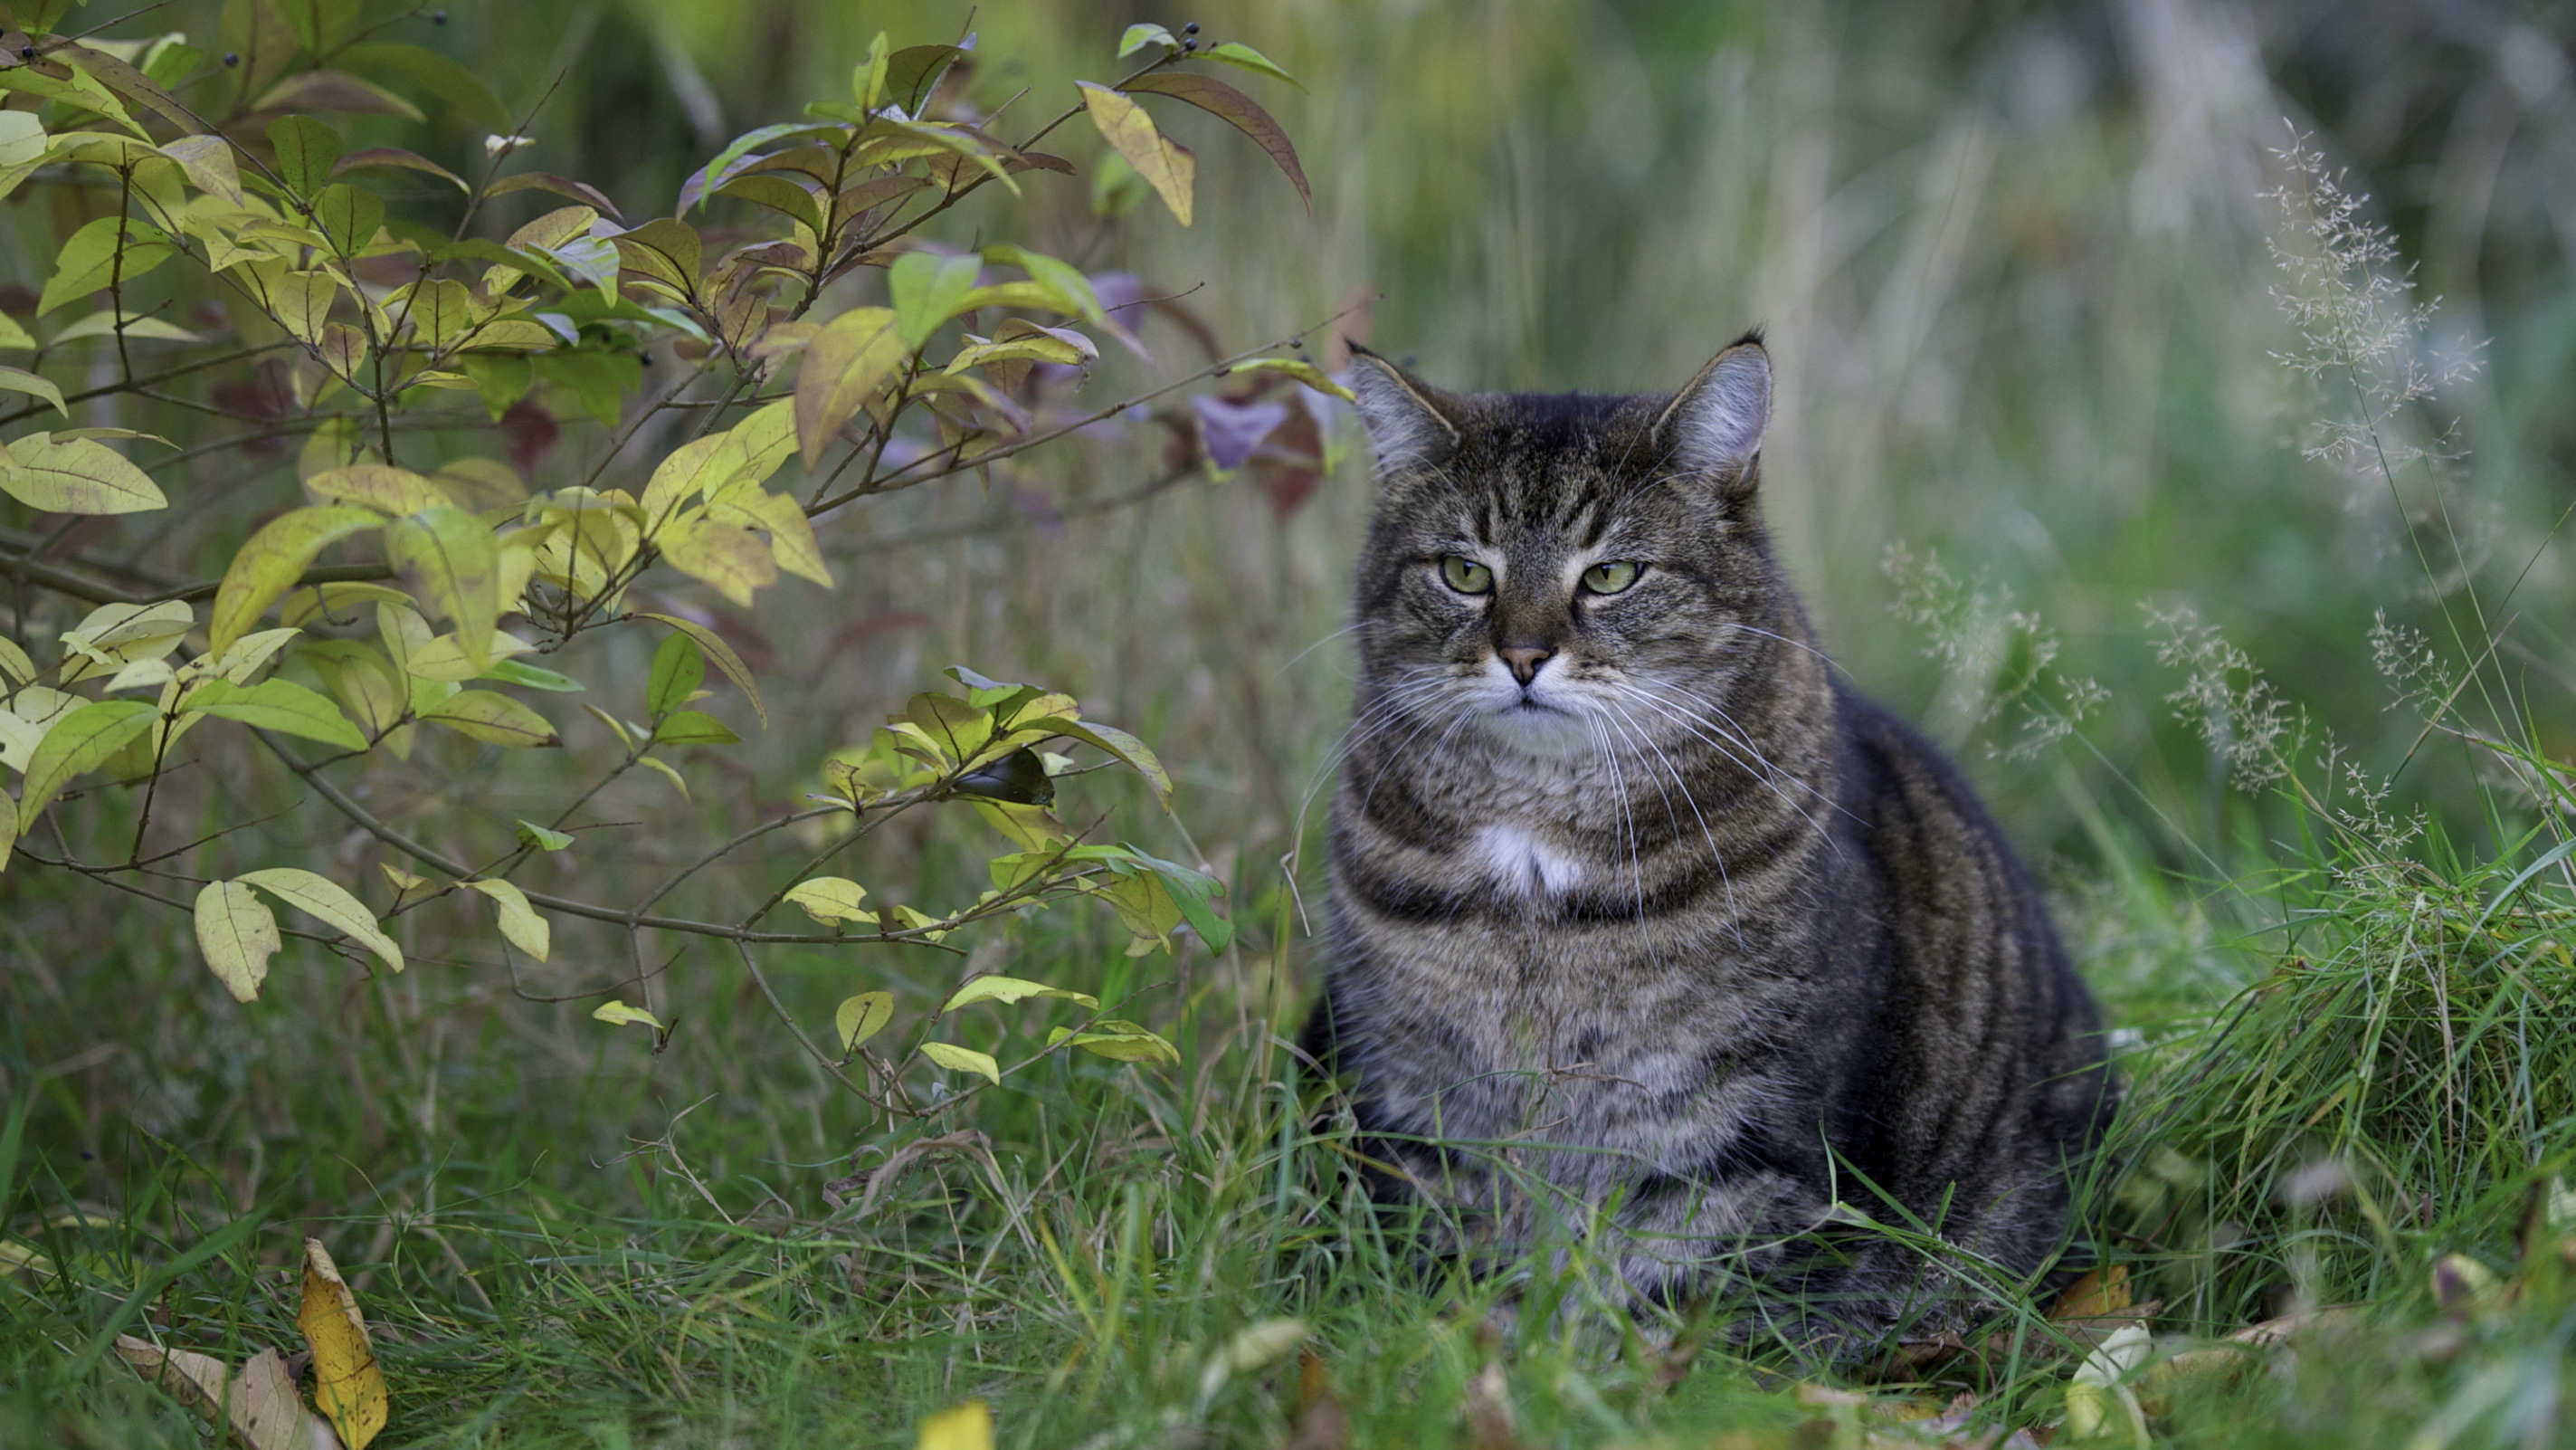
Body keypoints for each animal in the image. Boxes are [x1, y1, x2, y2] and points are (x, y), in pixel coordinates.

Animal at [1308, 332, 2112, 1350]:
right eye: (1463, 572)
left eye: (1611, 575)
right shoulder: (1420, 1103)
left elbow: (1680, 1301)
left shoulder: (1737, 1128)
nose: (1522, 656)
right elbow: (1458, 1263)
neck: (1534, 847)